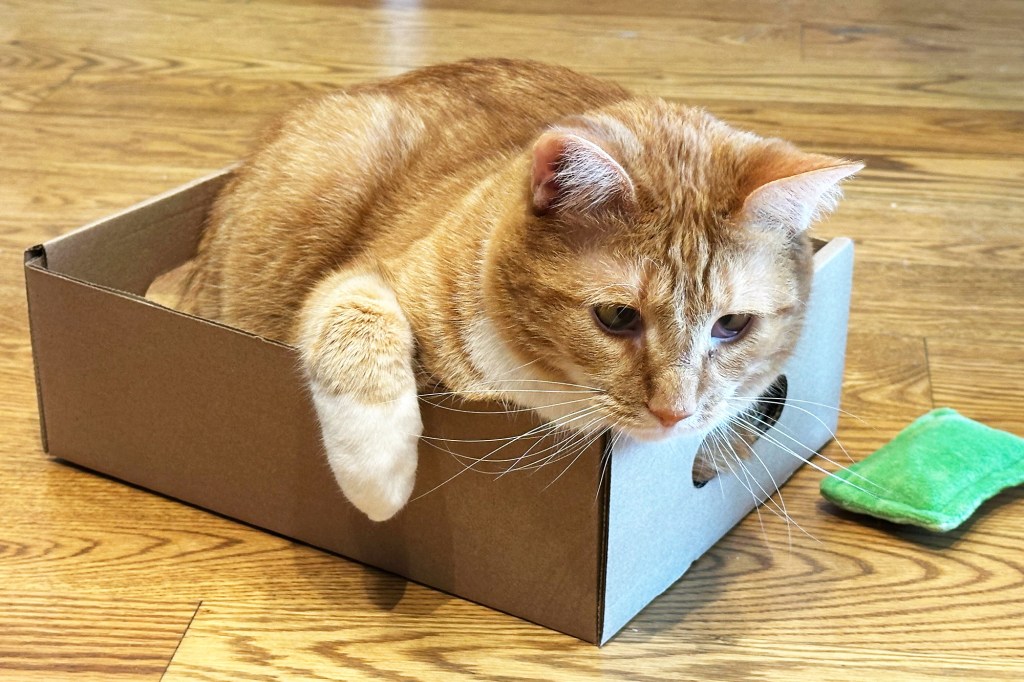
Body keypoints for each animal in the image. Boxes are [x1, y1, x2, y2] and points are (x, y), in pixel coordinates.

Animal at [180, 59, 860, 520]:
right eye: (617, 317)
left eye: (732, 326)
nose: (676, 412)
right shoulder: (364, 276)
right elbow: (354, 320)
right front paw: (379, 478)